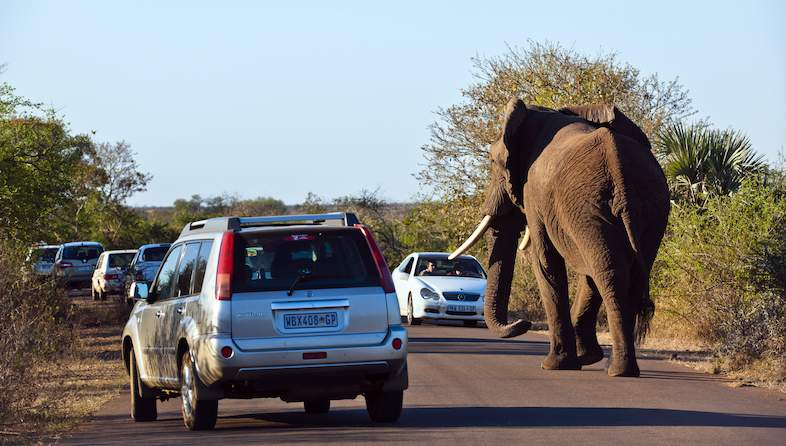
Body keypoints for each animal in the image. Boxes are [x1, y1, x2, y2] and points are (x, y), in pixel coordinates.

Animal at [449, 98, 670, 377]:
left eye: (491, 161)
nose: (523, 322)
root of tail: (621, 174)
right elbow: (584, 273)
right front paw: (585, 358)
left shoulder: (534, 195)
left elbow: (545, 261)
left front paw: (555, 365)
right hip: (649, 207)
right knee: (615, 271)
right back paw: (621, 367)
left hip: (590, 206)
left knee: (610, 274)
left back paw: (618, 370)